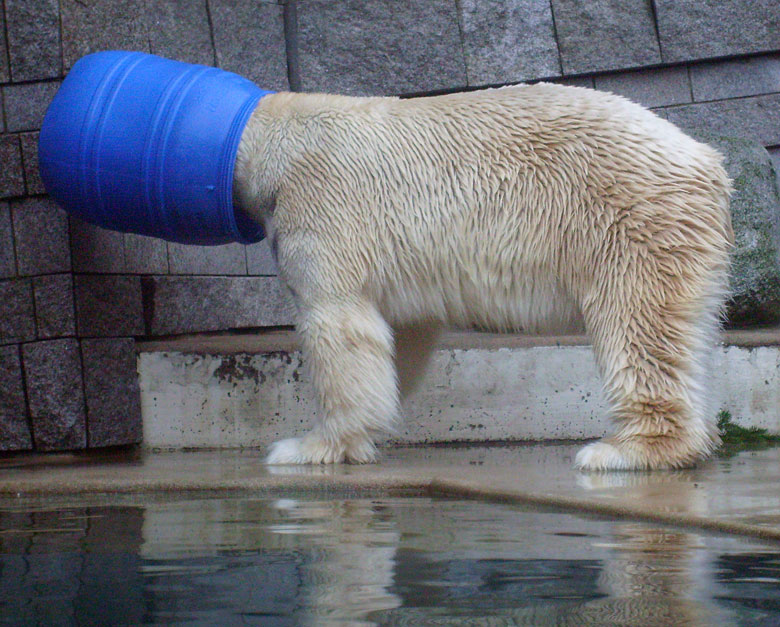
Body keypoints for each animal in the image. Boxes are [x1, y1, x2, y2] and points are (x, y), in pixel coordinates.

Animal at [233, 83, 732, 472]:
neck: (277, 138)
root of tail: (706, 160)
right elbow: (401, 334)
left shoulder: (324, 205)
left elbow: (339, 325)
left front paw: (306, 445)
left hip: (629, 219)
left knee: (635, 324)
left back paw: (625, 451)